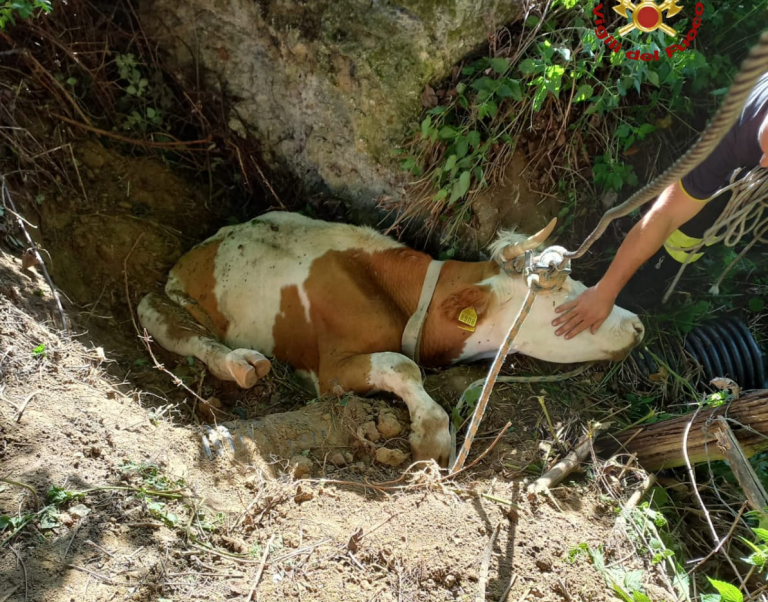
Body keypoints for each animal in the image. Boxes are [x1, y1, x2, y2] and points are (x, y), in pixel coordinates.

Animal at [138, 211, 644, 466]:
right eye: (560, 296)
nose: (638, 325)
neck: (407, 298)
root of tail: (201, 247)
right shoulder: (331, 371)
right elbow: (403, 365)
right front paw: (432, 436)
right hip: (170, 303)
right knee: (176, 329)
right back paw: (241, 363)